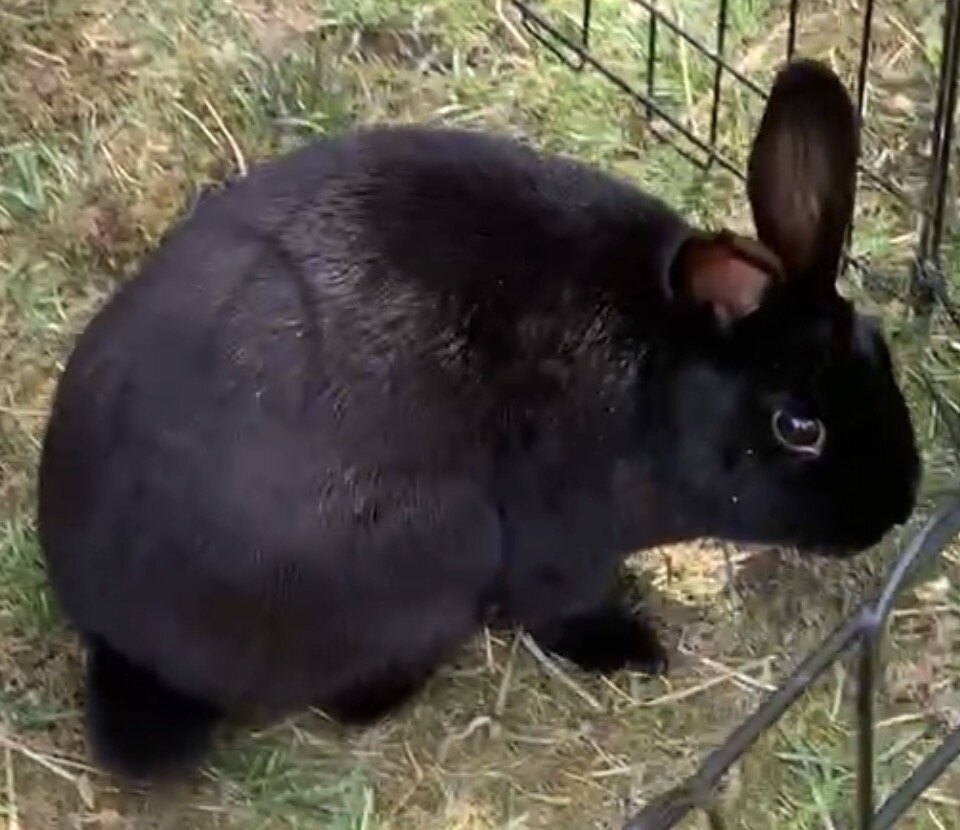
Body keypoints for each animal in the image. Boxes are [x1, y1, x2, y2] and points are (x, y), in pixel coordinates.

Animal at [37, 57, 919, 781]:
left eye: (880, 348)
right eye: (798, 428)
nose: (897, 508)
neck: (663, 382)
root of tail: (125, 640)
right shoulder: (563, 536)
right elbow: (558, 609)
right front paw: (635, 647)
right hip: (436, 545)